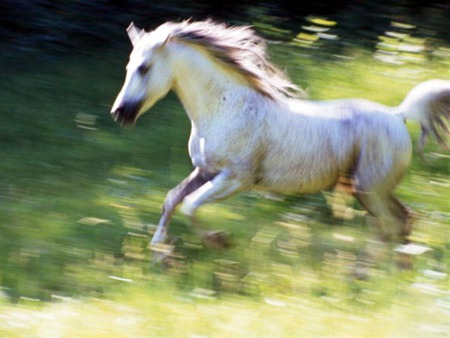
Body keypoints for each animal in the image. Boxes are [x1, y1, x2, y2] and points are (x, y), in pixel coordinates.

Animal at [110, 19, 448, 258]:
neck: (226, 107)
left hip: (370, 189)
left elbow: (190, 205)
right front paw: (159, 252)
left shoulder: (236, 179)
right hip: (370, 190)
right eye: (127, 66)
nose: (119, 113)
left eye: (144, 68)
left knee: (392, 225)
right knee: (403, 221)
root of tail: (397, 115)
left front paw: (220, 241)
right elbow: (171, 199)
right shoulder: (205, 171)